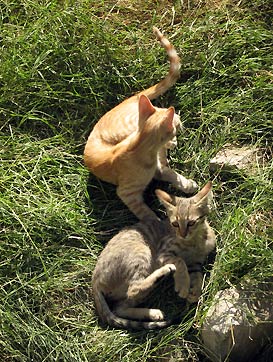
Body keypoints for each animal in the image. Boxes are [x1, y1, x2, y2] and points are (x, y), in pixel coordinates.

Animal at [84, 26, 197, 219]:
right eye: (176, 119)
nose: (180, 119)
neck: (139, 145)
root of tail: (132, 98)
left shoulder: (159, 169)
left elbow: (172, 173)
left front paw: (187, 184)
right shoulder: (127, 193)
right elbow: (147, 214)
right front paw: (157, 223)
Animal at [91, 182, 215, 330]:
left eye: (191, 223)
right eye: (175, 224)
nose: (182, 234)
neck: (195, 242)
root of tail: (95, 282)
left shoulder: (195, 263)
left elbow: (198, 276)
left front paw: (195, 292)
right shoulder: (163, 252)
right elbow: (180, 261)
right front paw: (183, 285)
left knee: (119, 307)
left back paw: (154, 313)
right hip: (142, 252)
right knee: (134, 289)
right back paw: (165, 271)